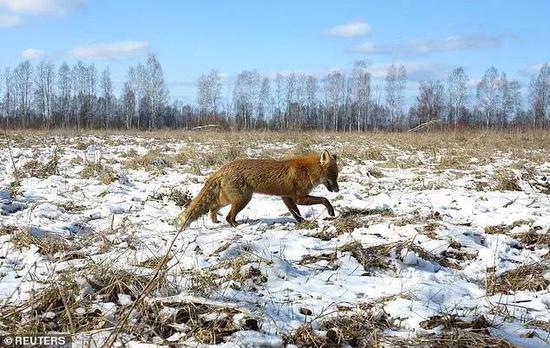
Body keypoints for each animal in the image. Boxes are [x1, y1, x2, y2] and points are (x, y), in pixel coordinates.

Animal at [177, 150, 340, 228]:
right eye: (334, 176)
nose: (338, 190)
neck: (307, 171)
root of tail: (223, 168)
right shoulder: (299, 197)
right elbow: (324, 199)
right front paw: (330, 211)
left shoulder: (286, 197)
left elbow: (296, 213)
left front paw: (302, 222)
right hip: (242, 200)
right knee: (228, 217)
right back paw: (237, 226)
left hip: (228, 200)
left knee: (213, 208)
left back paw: (215, 221)